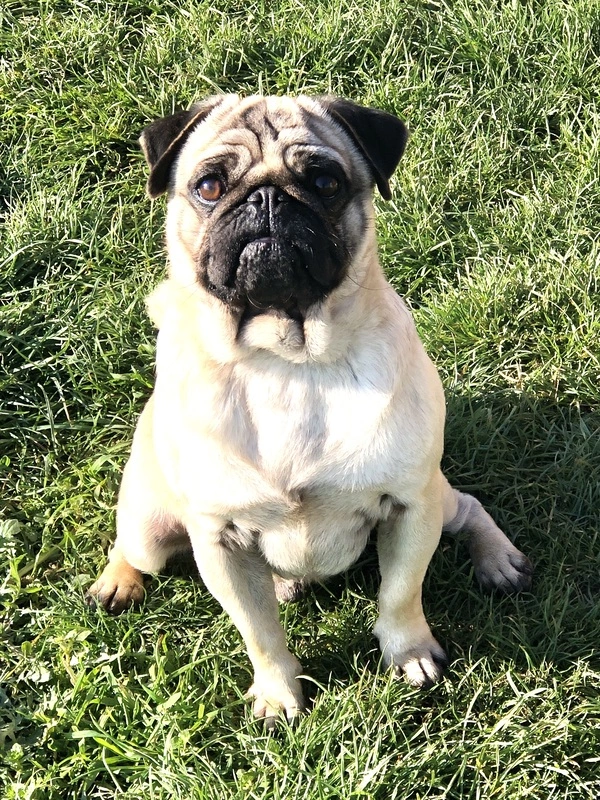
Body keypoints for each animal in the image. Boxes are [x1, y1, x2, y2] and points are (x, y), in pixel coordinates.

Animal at [86, 95, 532, 724]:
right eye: (209, 185)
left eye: (325, 183)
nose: (267, 198)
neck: (286, 361)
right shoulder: (219, 542)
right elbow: (259, 633)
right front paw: (278, 693)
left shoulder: (409, 506)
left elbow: (401, 594)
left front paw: (410, 654)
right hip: (151, 526)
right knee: (133, 546)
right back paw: (118, 582)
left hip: (435, 497)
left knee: (466, 507)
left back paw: (497, 560)